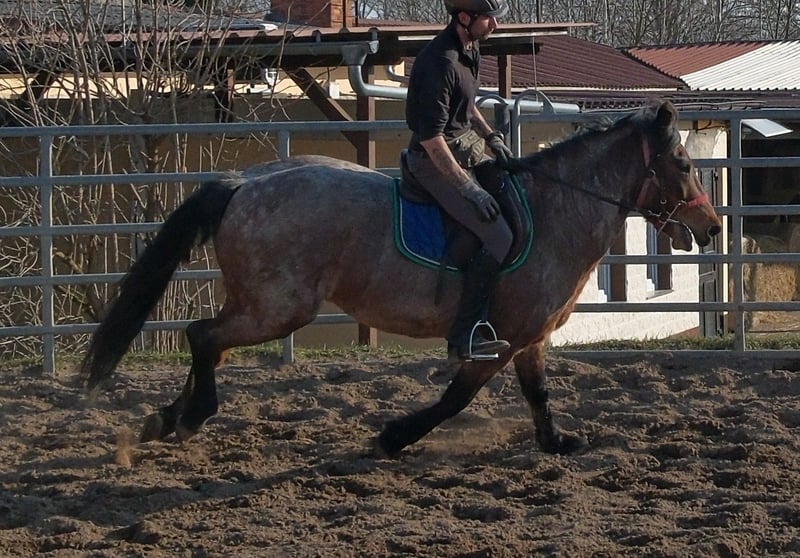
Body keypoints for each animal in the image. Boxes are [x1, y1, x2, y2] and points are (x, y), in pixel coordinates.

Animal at [82, 100, 722, 456]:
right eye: (684, 163)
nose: (711, 227)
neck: (555, 210)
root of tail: (244, 183)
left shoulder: (530, 338)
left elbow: (538, 393)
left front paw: (556, 442)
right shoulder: (501, 341)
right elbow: (456, 398)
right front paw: (392, 437)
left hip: (259, 302)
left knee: (207, 341)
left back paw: (166, 419)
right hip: (279, 308)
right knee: (202, 336)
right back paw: (189, 416)